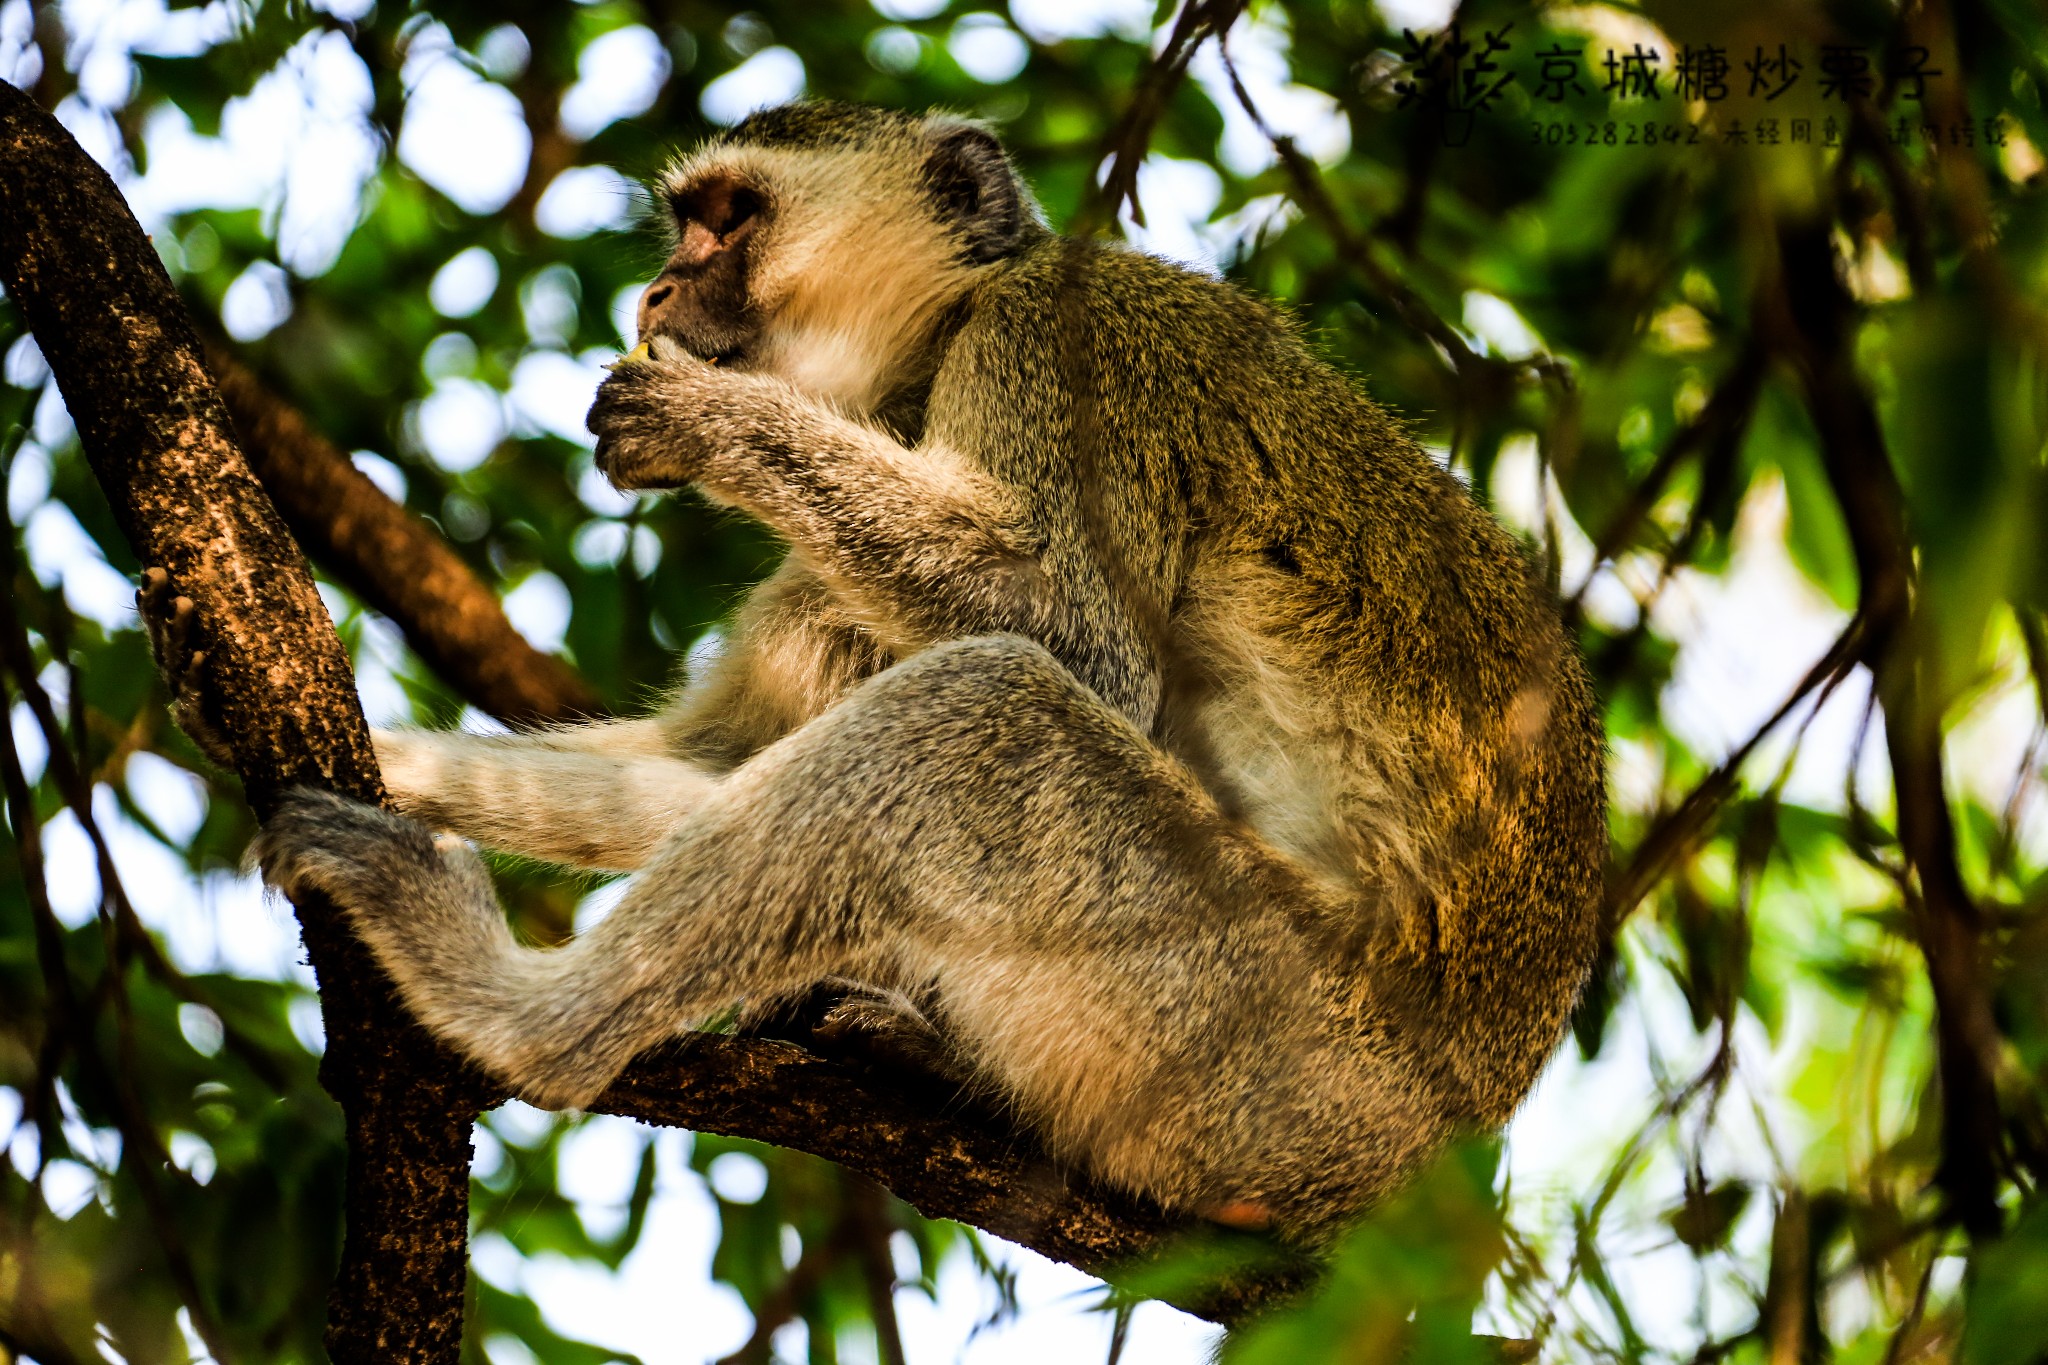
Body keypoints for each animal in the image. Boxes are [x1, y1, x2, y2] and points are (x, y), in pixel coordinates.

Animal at [247, 101, 1605, 1244]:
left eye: (729, 218)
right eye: (684, 227)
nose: (658, 287)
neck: (953, 322)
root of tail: (1425, 1165)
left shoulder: (1058, 341)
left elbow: (1072, 635)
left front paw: (710, 422)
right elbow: (704, 769)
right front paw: (390, 762)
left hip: (1266, 1043)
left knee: (986, 710)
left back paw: (519, 1021)